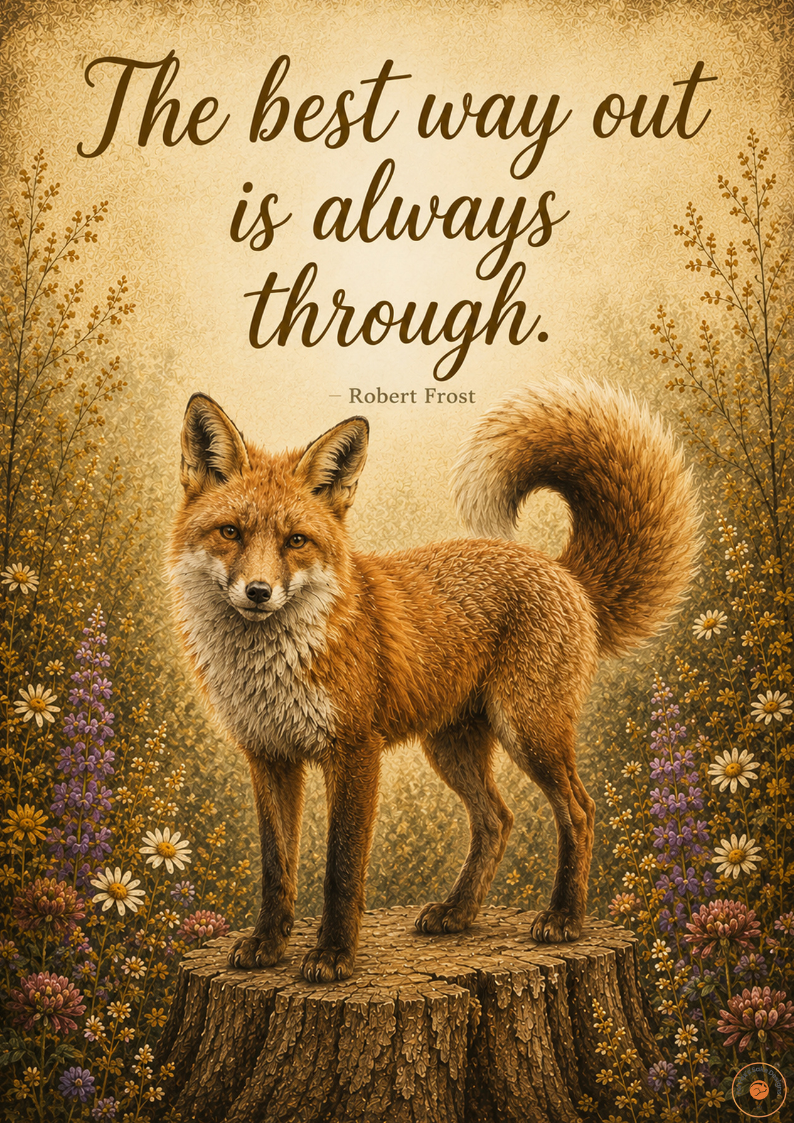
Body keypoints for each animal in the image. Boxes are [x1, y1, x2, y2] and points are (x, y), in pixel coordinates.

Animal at [168, 379, 697, 983]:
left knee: (579, 812)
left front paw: (334, 954)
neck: (268, 669)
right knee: (497, 819)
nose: (258, 592)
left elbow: (341, 868)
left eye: (296, 541)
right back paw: (460, 912)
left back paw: (565, 918)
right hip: (451, 746)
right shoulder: (269, 755)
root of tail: (566, 575)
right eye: (230, 532)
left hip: (529, 732)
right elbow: (277, 868)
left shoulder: (355, 751)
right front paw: (268, 944)